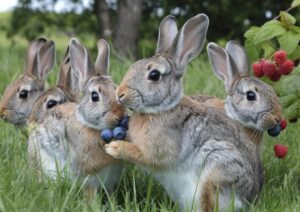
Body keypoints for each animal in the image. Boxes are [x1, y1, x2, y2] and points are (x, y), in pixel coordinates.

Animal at [102, 14, 282, 211]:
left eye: (154, 75)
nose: (120, 93)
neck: (162, 108)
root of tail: (248, 200)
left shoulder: (159, 149)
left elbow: (146, 155)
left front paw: (114, 148)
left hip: (216, 171)